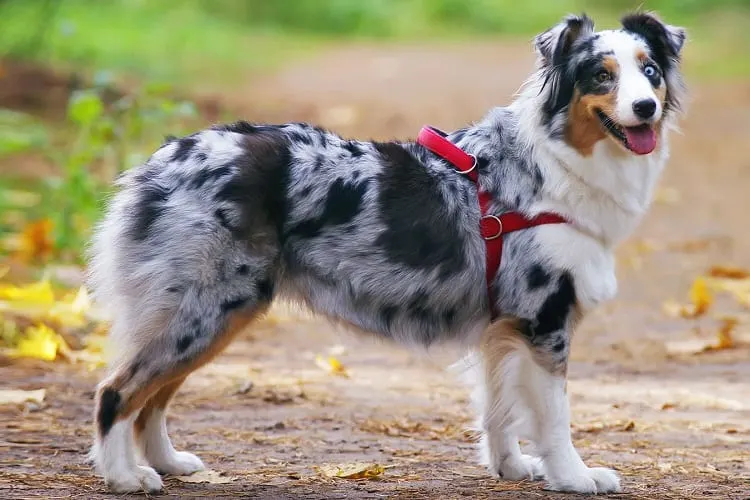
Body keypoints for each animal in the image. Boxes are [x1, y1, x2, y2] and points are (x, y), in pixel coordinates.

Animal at [86, 10, 688, 492]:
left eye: (651, 72)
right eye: (600, 75)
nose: (645, 107)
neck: (555, 166)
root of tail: (162, 160)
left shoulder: (503, 326)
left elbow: (499, 411)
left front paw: (511, 468)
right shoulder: (545, 320)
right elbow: (555, 418)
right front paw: (574, 477)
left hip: (212, 312)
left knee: (154, 397)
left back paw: (168, 463)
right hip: (209, 306)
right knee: (118, 391)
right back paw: (125, 477)